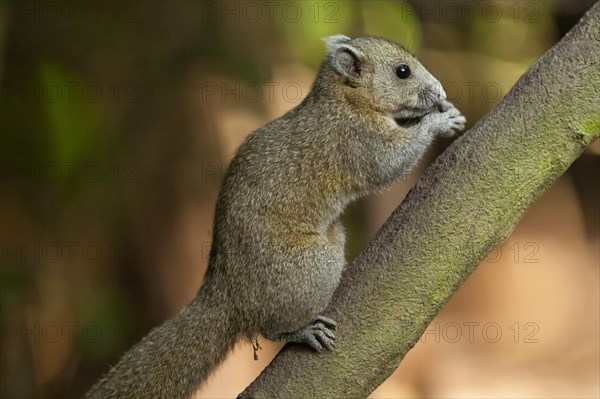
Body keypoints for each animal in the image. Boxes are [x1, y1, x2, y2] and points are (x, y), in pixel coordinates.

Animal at [86, 35, 466, 399]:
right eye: (402, 71)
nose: (441, 92)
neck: (345, 100)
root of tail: (228, 296)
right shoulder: (359, 141)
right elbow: (393, 160)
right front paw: (440, 121)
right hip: (309, 270)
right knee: (266, 327)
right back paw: (302, 331)